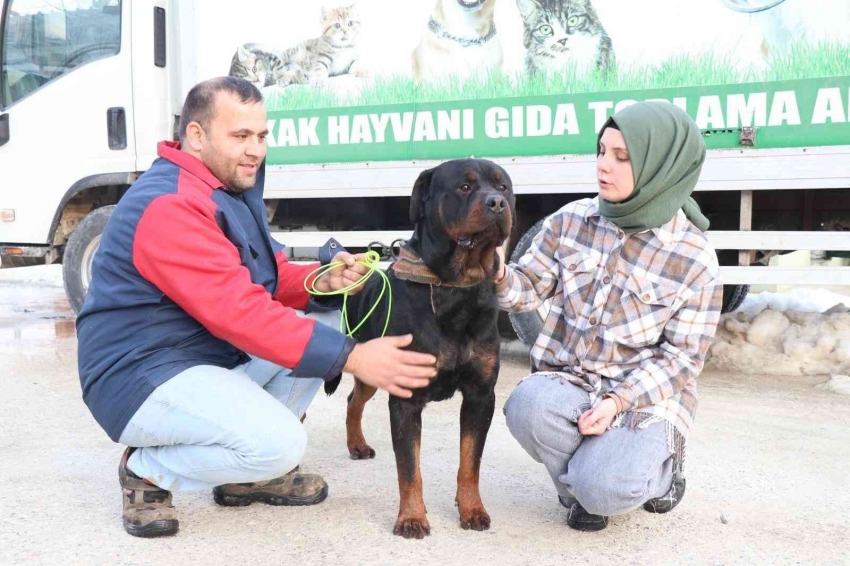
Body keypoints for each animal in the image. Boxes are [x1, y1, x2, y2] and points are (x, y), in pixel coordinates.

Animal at [322, 158, 512, 540]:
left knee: (353, 400)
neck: (455, 287)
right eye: (464, 187)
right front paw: (411, 518)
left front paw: (472, 509)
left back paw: (356, 444)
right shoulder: (406, 398)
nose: (497, 203)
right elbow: (409, 468)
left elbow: (470, 462)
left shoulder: (481, 395)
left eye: (503, 187)